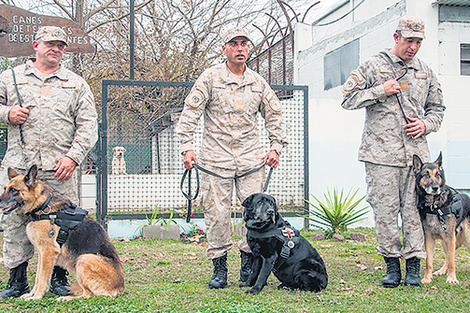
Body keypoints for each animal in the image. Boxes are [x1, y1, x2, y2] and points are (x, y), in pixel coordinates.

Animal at [0, 165, 125, 298]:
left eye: (13, 190)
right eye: (5, 188)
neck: (43, 205)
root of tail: (120, 288)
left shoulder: (48, 251)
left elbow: (43, 278)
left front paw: (37, 297)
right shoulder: (41, 253)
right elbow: (38, 277)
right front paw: (31, 294)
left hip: (84, 259)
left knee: (87, 295)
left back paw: (66, 298)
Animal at [414, 152, 470, 284]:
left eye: (437, 175)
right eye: (426, 174)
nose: (435, 188)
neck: (434, 207)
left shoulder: (450, 237)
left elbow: (452, 261)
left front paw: (452, 278)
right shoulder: (429, 238)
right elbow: (429, 261)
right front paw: (427, 278)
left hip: (464, 237)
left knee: (451, 257)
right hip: (445, 241)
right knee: (448, 257)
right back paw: (441, 271)